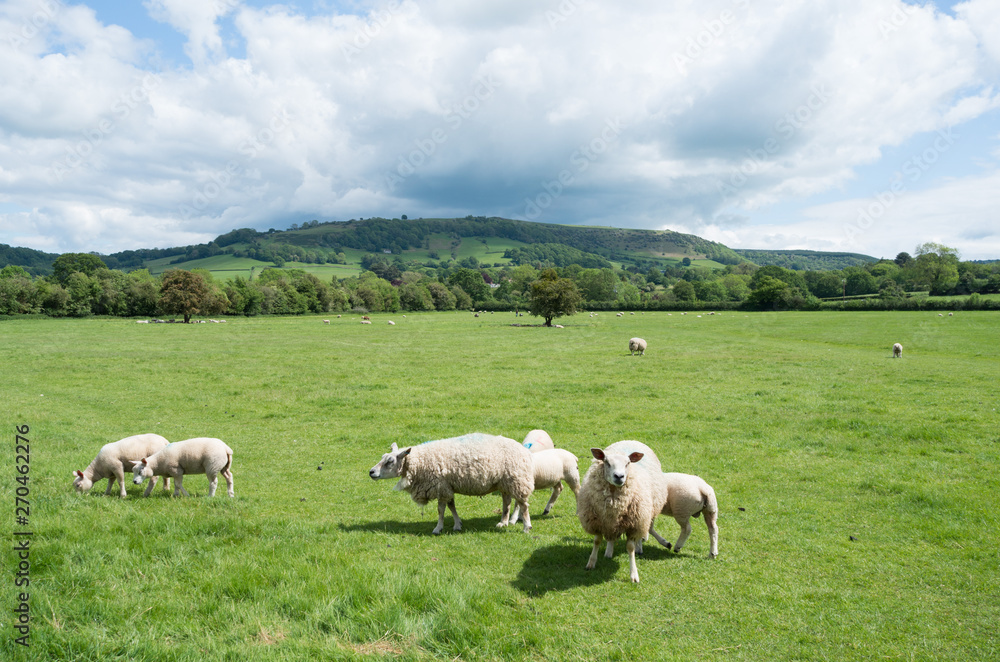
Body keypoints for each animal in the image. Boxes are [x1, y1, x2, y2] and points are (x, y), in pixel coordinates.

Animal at [370, 434, 540, 536]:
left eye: (390, 461)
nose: (371, 472)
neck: (419, 462)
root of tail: (524, 450)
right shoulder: (447, 487)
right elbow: (452, 506)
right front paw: (458, 524)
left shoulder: (440, 487)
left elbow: (441, 510)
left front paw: (437, 528)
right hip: (505, 482)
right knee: (507, 503)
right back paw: (503, 522)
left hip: (517, 480)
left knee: (523, 505)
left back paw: (527, 527)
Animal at [576, 444, 668, 584]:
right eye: (607, 462)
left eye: (627, 463)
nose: (619, 476)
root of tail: (632, 440)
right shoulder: (598, 521)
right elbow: (597, 541)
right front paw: (591, 563)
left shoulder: (634, 524)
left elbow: (630, 548)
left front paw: (634, 574)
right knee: (611, 537)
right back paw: (609, 552)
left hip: (644, 516)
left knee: (641, 534)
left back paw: (639, 548)